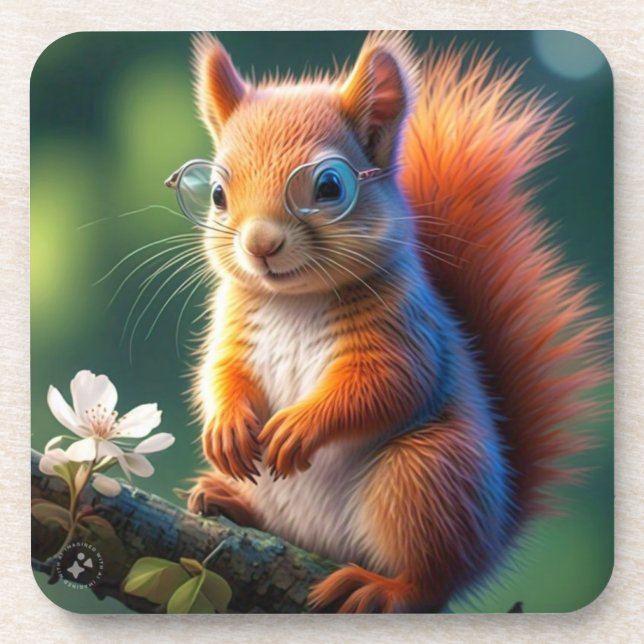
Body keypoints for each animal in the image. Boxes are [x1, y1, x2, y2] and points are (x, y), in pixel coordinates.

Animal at [184, 31, 606, 612]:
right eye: (217, 194)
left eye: (330, 187)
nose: (260, 246)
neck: (294, 300)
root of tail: (490, 546)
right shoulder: (232, 329)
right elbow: (220, 375)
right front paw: (225, 426)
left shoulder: (406, 331)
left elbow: (385, 385)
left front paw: (301, 426)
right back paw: (225, 498)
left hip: (425, 475)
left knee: (429, 578)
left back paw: (380, 586)